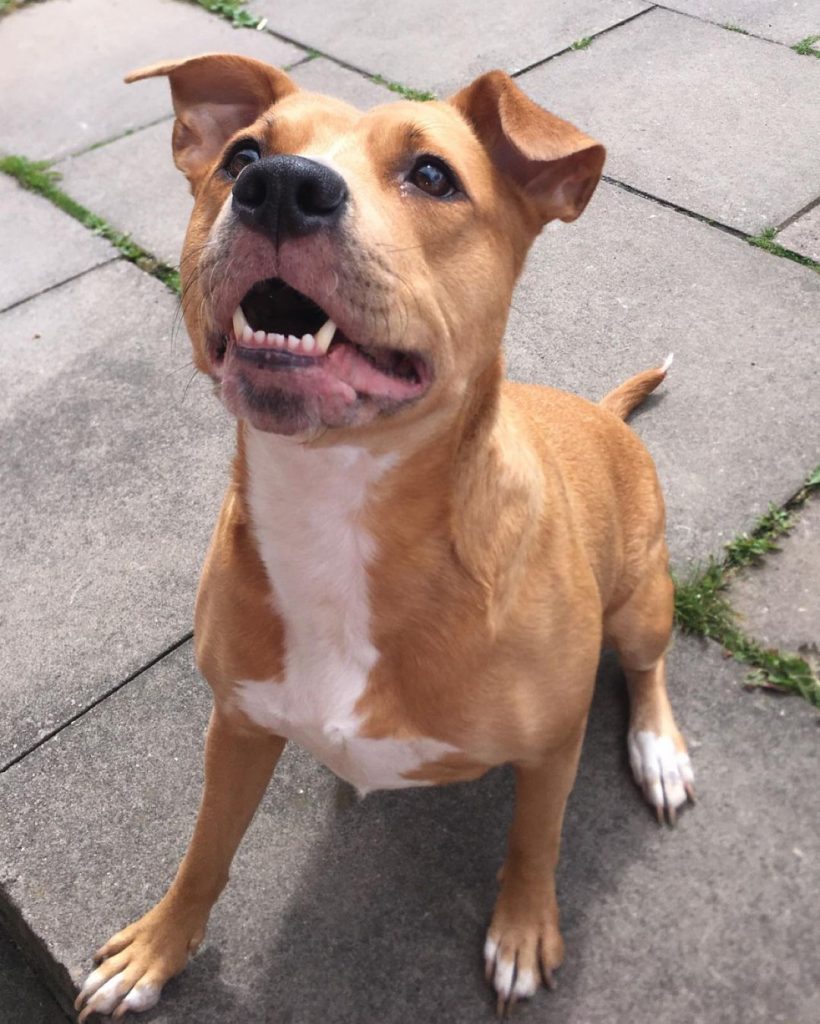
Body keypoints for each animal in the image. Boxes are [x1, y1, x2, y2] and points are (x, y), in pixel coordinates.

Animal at [75, 56, 692, 1024]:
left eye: (433, 175)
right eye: (241, 153)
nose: (280, 187)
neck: (338, 504)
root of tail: (601, 413)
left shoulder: (551, 748)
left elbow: (535, 843)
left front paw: (522, 933)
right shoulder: (236, 727)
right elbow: (205, 853)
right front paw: (157, 950)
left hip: (641, 600)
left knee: (647, 667)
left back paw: (659, 751)